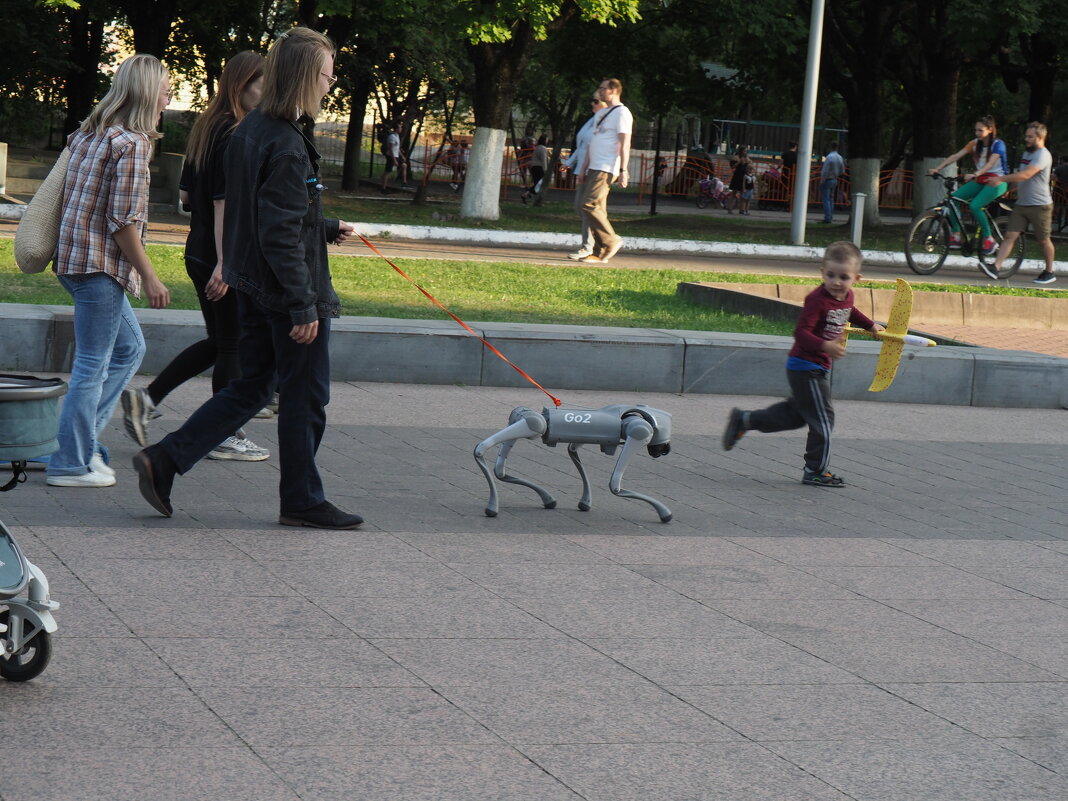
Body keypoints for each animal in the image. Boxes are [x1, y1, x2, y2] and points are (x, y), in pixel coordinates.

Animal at [474, 403, 670, 523]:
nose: (664, 449)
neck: (625, 421)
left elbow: (573, 450)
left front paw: (585, 502)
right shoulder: (639, 432)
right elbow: (615, 486)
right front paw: (664, 512)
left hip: (521, 420)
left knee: (500, 468)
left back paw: (547, 498)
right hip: (535, 425)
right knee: (482, 449)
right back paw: (493, 506)